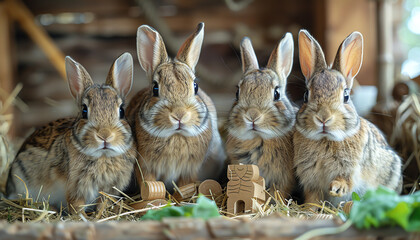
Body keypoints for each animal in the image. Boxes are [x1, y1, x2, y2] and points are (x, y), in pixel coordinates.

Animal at [5, 52, 136, 214]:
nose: (105, 136)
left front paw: (101, 213)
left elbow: (102, 203)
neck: (103, 156)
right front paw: (81, 217)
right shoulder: (76, 188)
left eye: (122, 111)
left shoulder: (107, 190)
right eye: (84, 111)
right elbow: (76, 205)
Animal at [126, 22, 226, 189]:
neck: (176, 135)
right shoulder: (144, 166)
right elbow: (148, 182)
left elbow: (186, 184)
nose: (180, 115)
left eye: (195, 86)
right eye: (155, 88)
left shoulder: (189, 170)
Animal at [294, 29, 402, 206]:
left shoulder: (351, 169)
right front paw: (308, 209)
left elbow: (347, 180)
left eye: (346, 96)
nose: (323, 118)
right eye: (305, 95)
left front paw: (337, 187)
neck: (326, 139)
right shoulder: (311, 179)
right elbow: (313, 198)